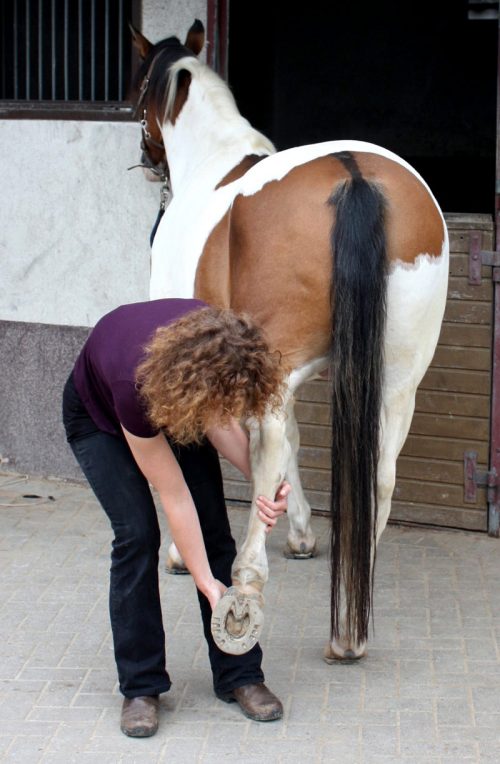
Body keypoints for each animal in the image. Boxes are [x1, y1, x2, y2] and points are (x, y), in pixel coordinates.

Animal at [132, 20, 450, 660]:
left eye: (137, 100)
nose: (145, 157)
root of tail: (354, 173)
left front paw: (181, 551)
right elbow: (295, 444)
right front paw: (302, 532)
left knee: (275, 443)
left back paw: (247, 581)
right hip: (398, 378)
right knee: (378, 473)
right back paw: (351, 624)